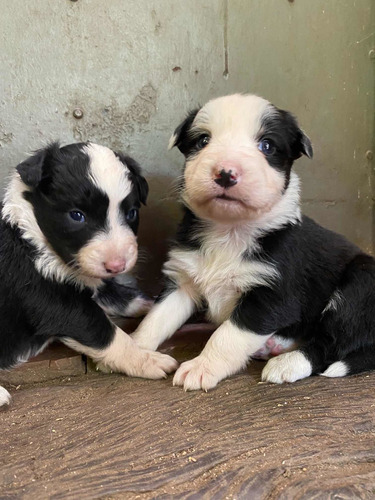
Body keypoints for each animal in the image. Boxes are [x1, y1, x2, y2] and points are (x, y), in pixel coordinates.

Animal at [0, 142, 178, 406]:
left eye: (131, 213)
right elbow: (107, 334)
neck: (32, 239)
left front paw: (150, 304)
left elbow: (115, 293)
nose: (117, 265)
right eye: (77, 215)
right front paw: (146, 360)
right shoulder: (55, 302)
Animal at [134, 93, 375, 390]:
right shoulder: (182, 281)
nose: (226, 173)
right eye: (203, 140)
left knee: (330, 342)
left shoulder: (271, 295)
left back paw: (287, 363)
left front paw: (202, 366)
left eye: (267, 145)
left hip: (360, 285)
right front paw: (132, 352)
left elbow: (226, 336)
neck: (229, 230)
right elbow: (155, 319)